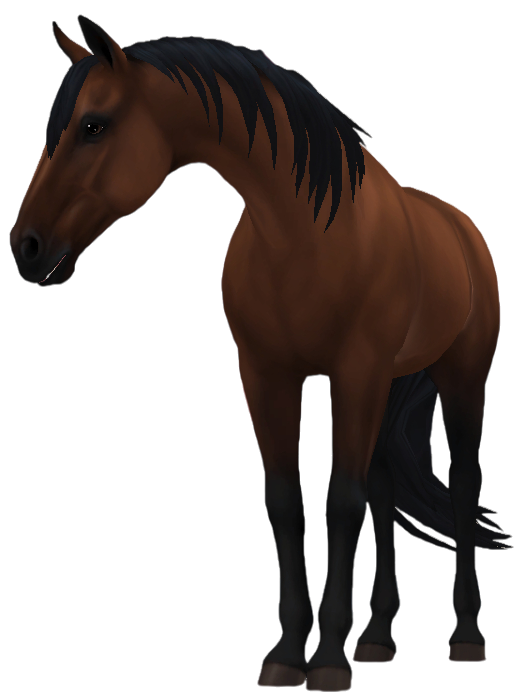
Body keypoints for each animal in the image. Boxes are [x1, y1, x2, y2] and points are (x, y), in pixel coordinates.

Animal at [10, 16, 510, 691]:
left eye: (93, 125)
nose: (26, 246)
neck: (303, 232)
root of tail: (460, 228)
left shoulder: (354, 373)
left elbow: (342, 500)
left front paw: (327, 661)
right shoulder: (267, 376)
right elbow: (285, 501)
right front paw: (287, 654)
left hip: (458, 377)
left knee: (457, 486)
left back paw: (465, 635)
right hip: (386, 384)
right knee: (384, 488)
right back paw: (377, 636)